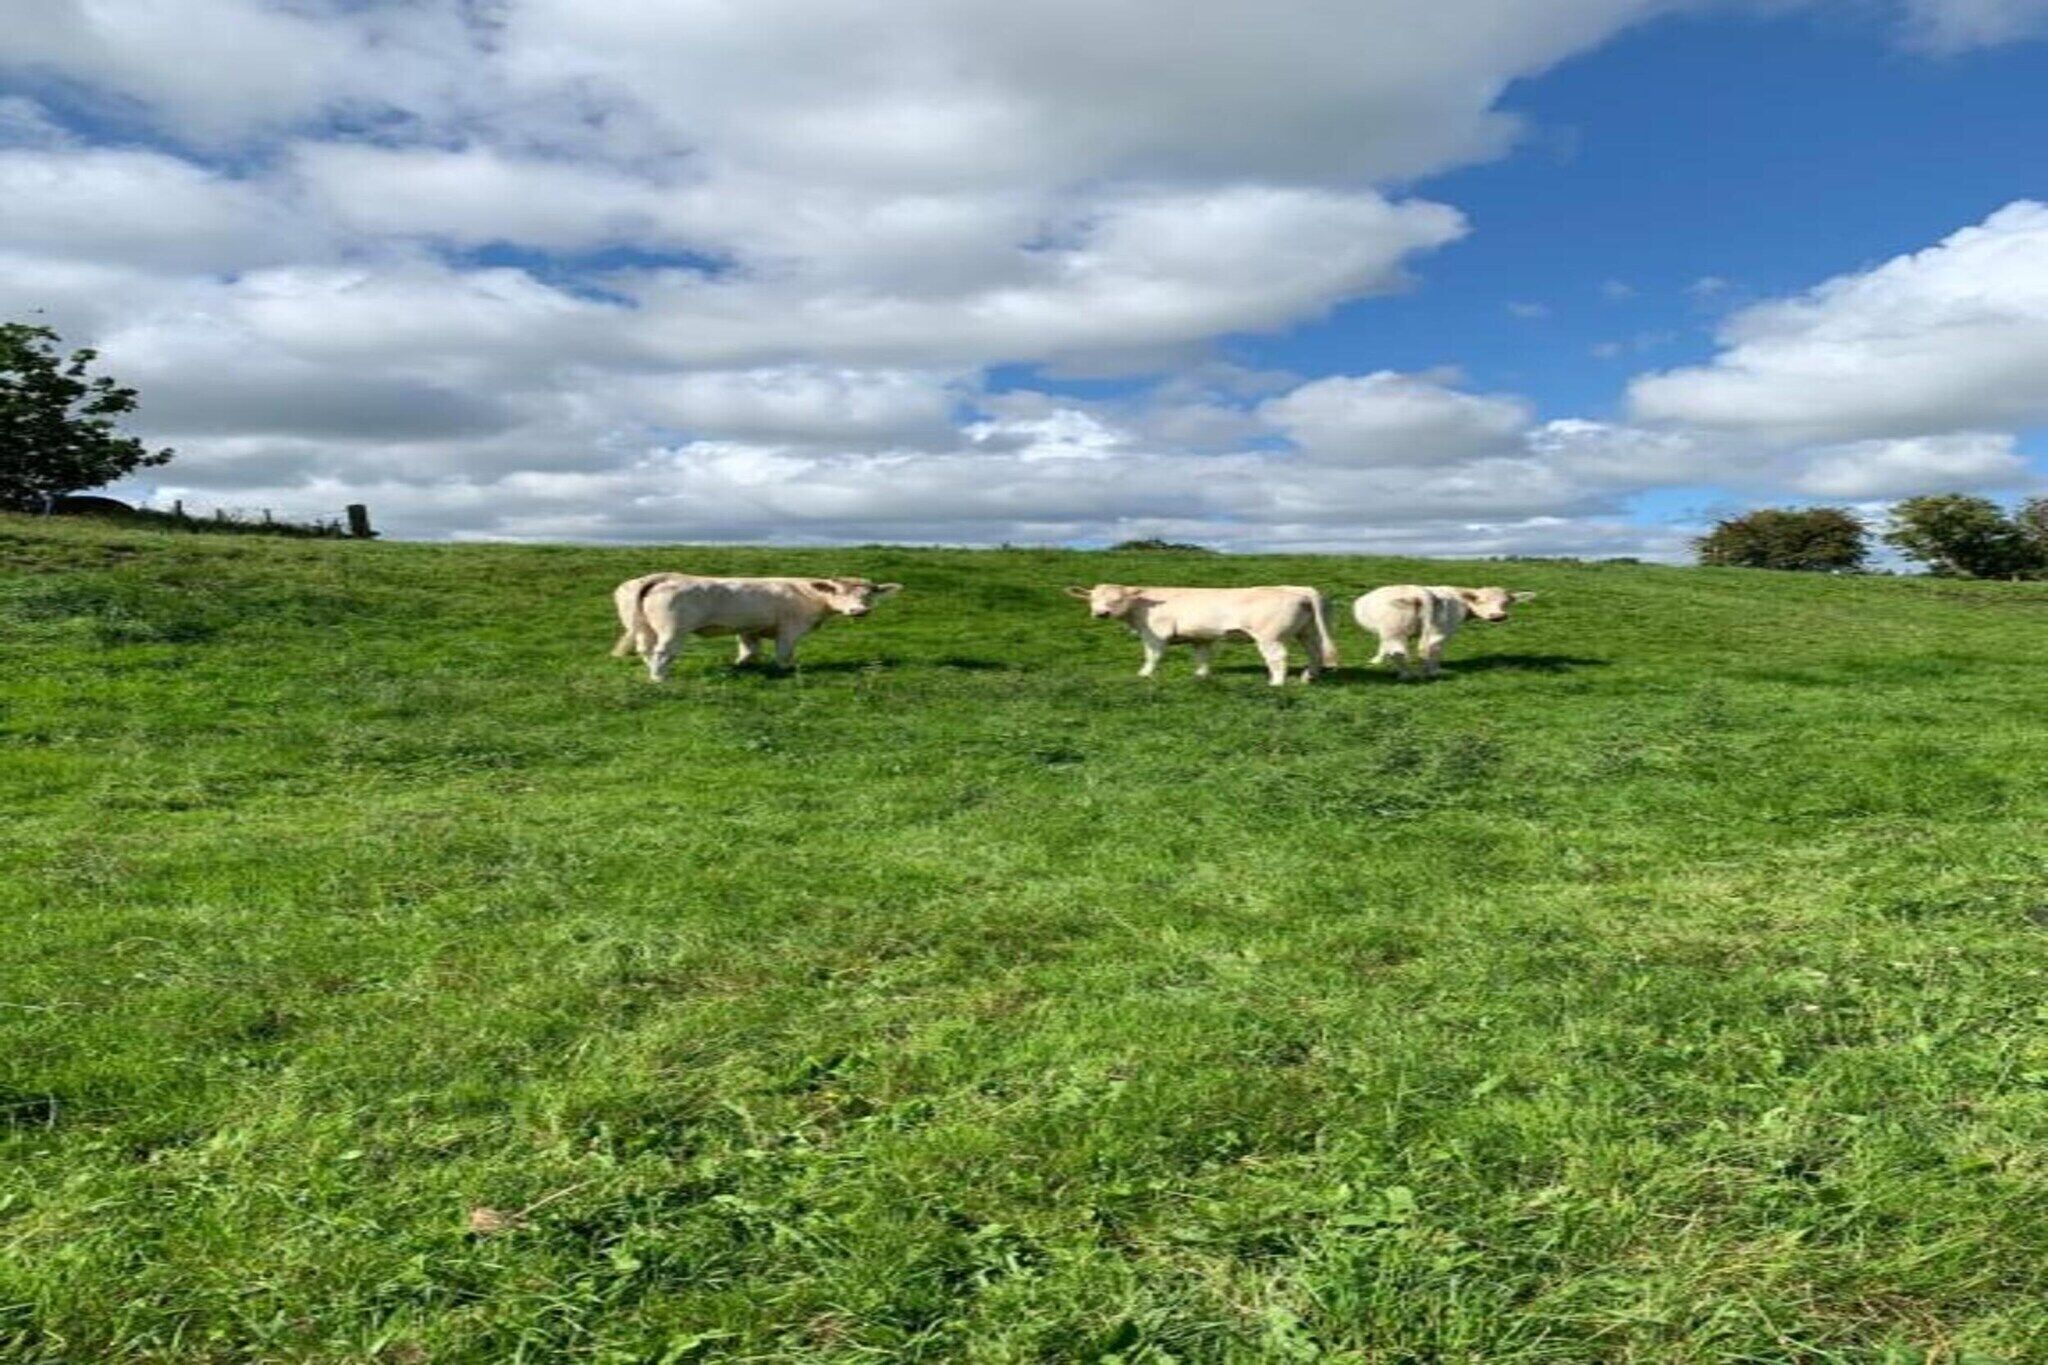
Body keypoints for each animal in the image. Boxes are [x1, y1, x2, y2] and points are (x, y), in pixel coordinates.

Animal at [612, 573, 901, 682]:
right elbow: (784, 654)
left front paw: (740, 667)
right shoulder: (790, 629)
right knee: (662, 652)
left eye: (869, 595)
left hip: (643, 626)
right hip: (673, 629)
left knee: (646, 649)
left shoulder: (749, 628)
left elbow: (749, 651)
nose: (860, 611)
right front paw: (785, 671)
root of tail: (663, 576)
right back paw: (661, 679)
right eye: (840, 592)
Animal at [1065, 583, 1337, 686]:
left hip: (1270, 637)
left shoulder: (1155, 634)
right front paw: (1200, 676)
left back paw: (1276, 683)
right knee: (1315, 652)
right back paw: (1309, 677)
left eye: (1117, 599)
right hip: (1306, 631)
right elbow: (1202, 657)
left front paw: (1144, 675)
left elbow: (1153, 656)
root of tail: (1297, 589)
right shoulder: (1201, 636)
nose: (1101, 613)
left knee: (1278, 657)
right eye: (1092, 599)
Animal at [1352, 585, 1536, 680]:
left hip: (1396, 630)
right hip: (1434, 628)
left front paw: (1376, 660)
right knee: (1429, 647)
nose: (1498, 616)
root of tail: (1420, 591)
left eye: (1507, 602)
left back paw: (1412, 675)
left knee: (1406, 651)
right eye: (1480, 600)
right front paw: (1376, 660)